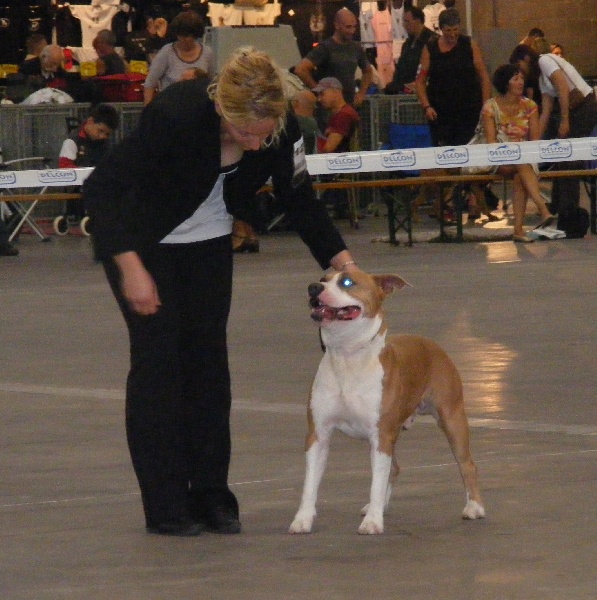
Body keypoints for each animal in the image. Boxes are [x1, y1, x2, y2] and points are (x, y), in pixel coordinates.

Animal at [289, 270, 485, 535]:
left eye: (347, 282)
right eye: (323, 278)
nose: (313, 287)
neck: (347, 355)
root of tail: (432, 344)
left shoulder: (381, 435)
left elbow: (376, 482)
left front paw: (372, 522)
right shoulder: (318, 435)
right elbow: (310, 483)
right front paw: (303, 519)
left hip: (452, 419)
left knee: (467, 464)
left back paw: (474, 507)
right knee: (395, 468)